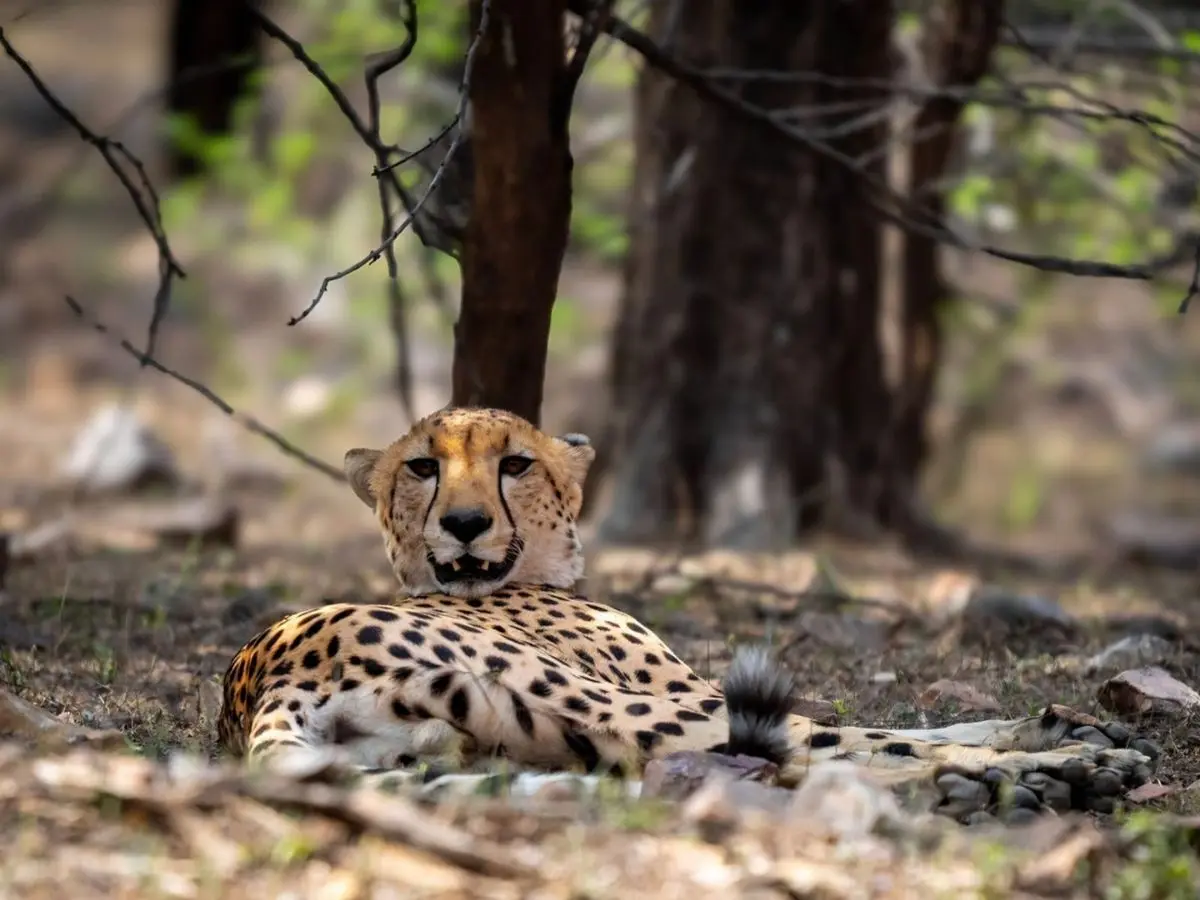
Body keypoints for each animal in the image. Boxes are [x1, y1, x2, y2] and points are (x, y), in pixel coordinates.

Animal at [218, 406, 1160, 822]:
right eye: (421, 468)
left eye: (515, 463)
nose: (465, 522)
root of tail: (263, 674)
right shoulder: (686, 692)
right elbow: (882, 729)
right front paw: (1060, 736)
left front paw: (1057, 724)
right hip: (618, 709)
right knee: (812, 754)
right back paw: (1053, 775)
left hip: (513, 752)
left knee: (745, 772)